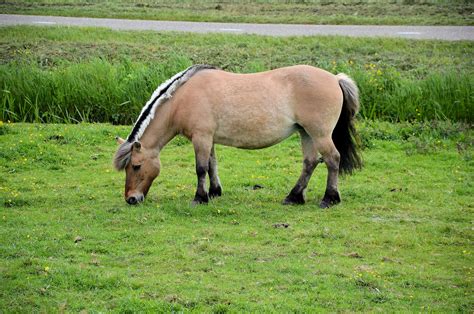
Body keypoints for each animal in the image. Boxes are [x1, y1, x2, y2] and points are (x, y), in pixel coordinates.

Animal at [113, 64, 362, 207]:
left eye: (136, 166)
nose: (131, 199)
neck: (182, 99)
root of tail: (335, 78)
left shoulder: (201, 138)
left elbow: (201, 168)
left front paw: (199, 198)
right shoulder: (208, 139)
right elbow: (212, 166)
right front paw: (214, 192)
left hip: (320, 135)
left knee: (332, 160)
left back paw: (330, 198)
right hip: (306, 134)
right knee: (310, 163)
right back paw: (294, 197)